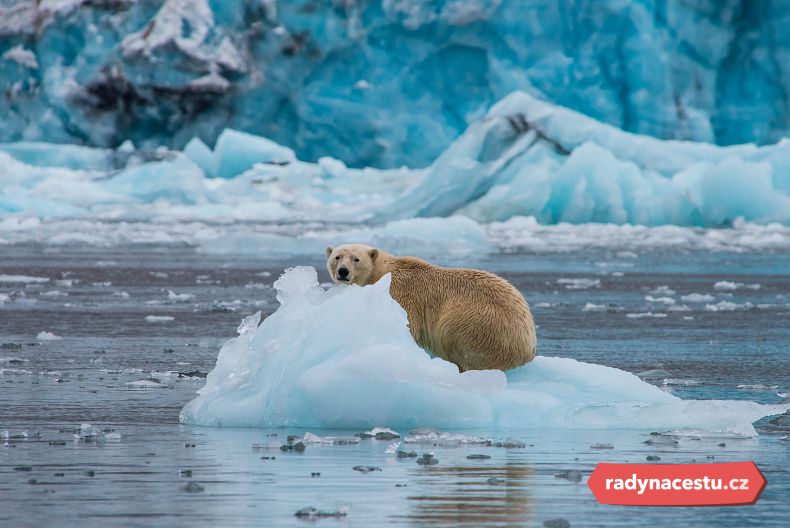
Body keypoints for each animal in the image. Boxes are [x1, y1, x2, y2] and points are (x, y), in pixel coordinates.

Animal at [328, 243, 540, 372]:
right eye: (337, 257)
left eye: (356, 259)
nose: (343, 271)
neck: (383, 272)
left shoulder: (401, 294)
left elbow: (408, 325)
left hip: (479, 323)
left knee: (452, 334)